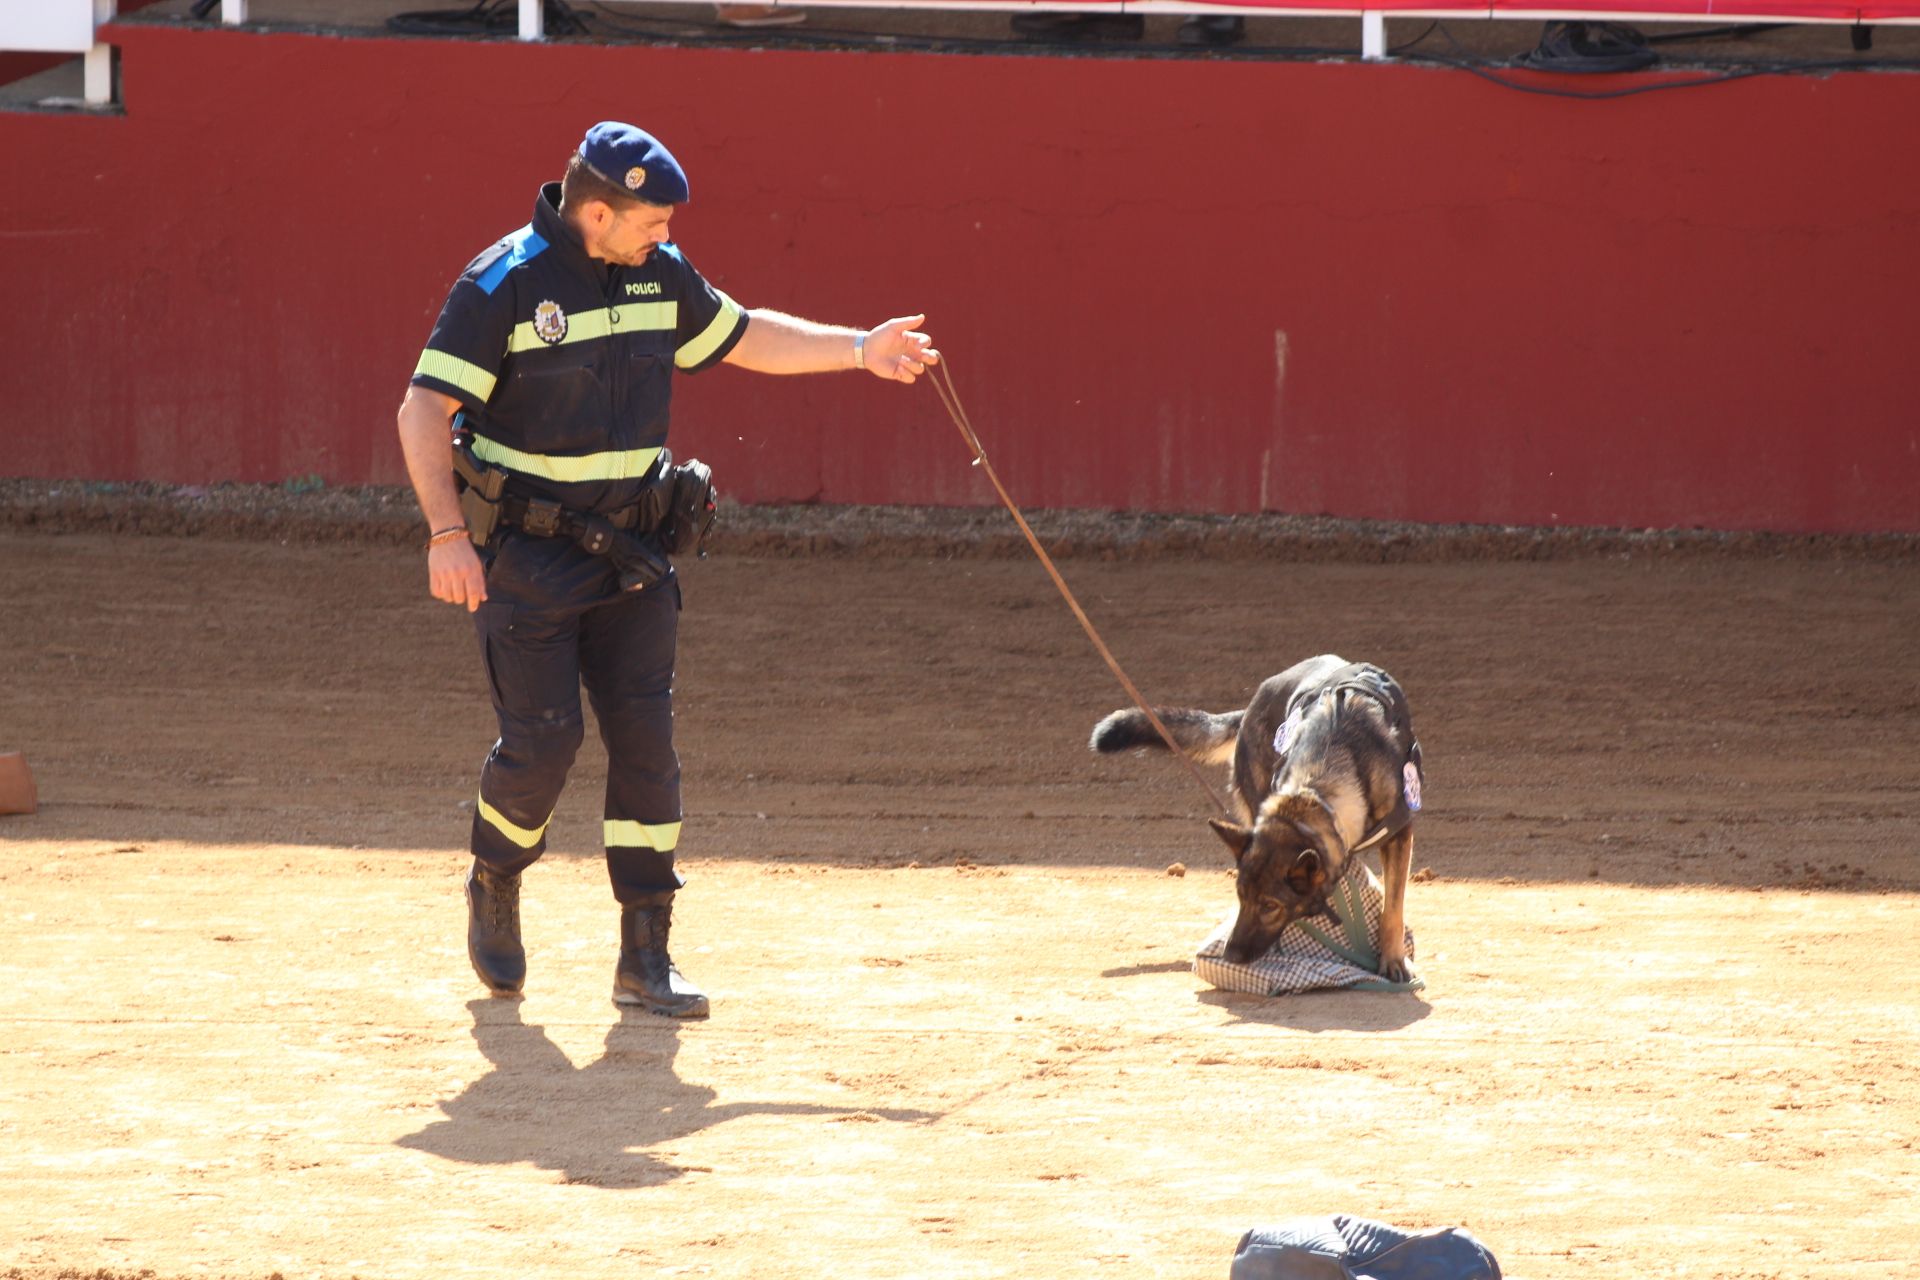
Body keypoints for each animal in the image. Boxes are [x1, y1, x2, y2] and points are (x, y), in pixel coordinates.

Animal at [1090, 656, 1420, 990]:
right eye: (1240, 896)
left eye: (1270, 906)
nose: (1231, 955)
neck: (1316, 792)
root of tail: (1253, 703)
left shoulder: (1400, 836)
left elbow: (1393, 908)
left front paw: (1392, 959)